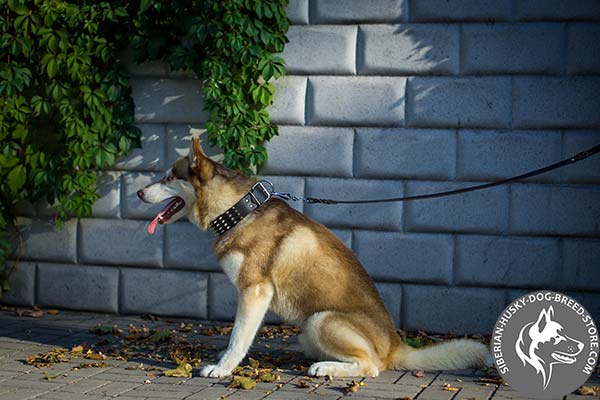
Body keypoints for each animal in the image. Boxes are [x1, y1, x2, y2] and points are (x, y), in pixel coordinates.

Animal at [138, 137, 490, 378]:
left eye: (169, 177)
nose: (139, 193)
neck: (239, 211)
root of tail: (394, 345)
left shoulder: (255, 291)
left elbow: (238, 338)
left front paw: (222, 368)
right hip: (307, 330)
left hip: (321, 320)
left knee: (371, 366)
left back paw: (326, 368)